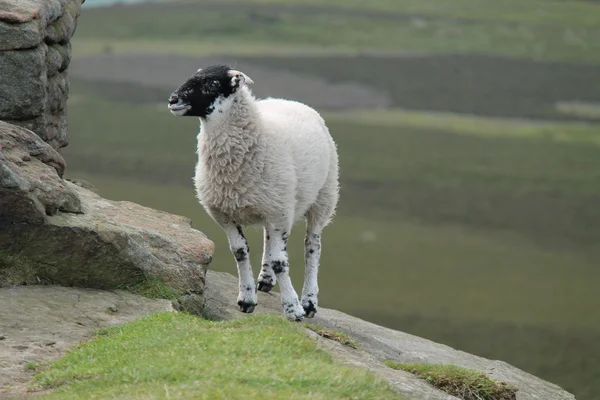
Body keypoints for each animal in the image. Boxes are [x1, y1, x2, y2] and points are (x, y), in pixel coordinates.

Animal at [168, 65, 338, 322]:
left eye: (211, 83)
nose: (173, 100)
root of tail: (289, 100)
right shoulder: (225, 214)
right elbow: (240, 252)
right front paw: (246, 299)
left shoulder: (280, 213)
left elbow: (280, 262)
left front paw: (293, 308)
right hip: (272, 203)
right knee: (269, 238)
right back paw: (265, 280)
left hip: (323, 197)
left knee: (312, 246)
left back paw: (309, 301)